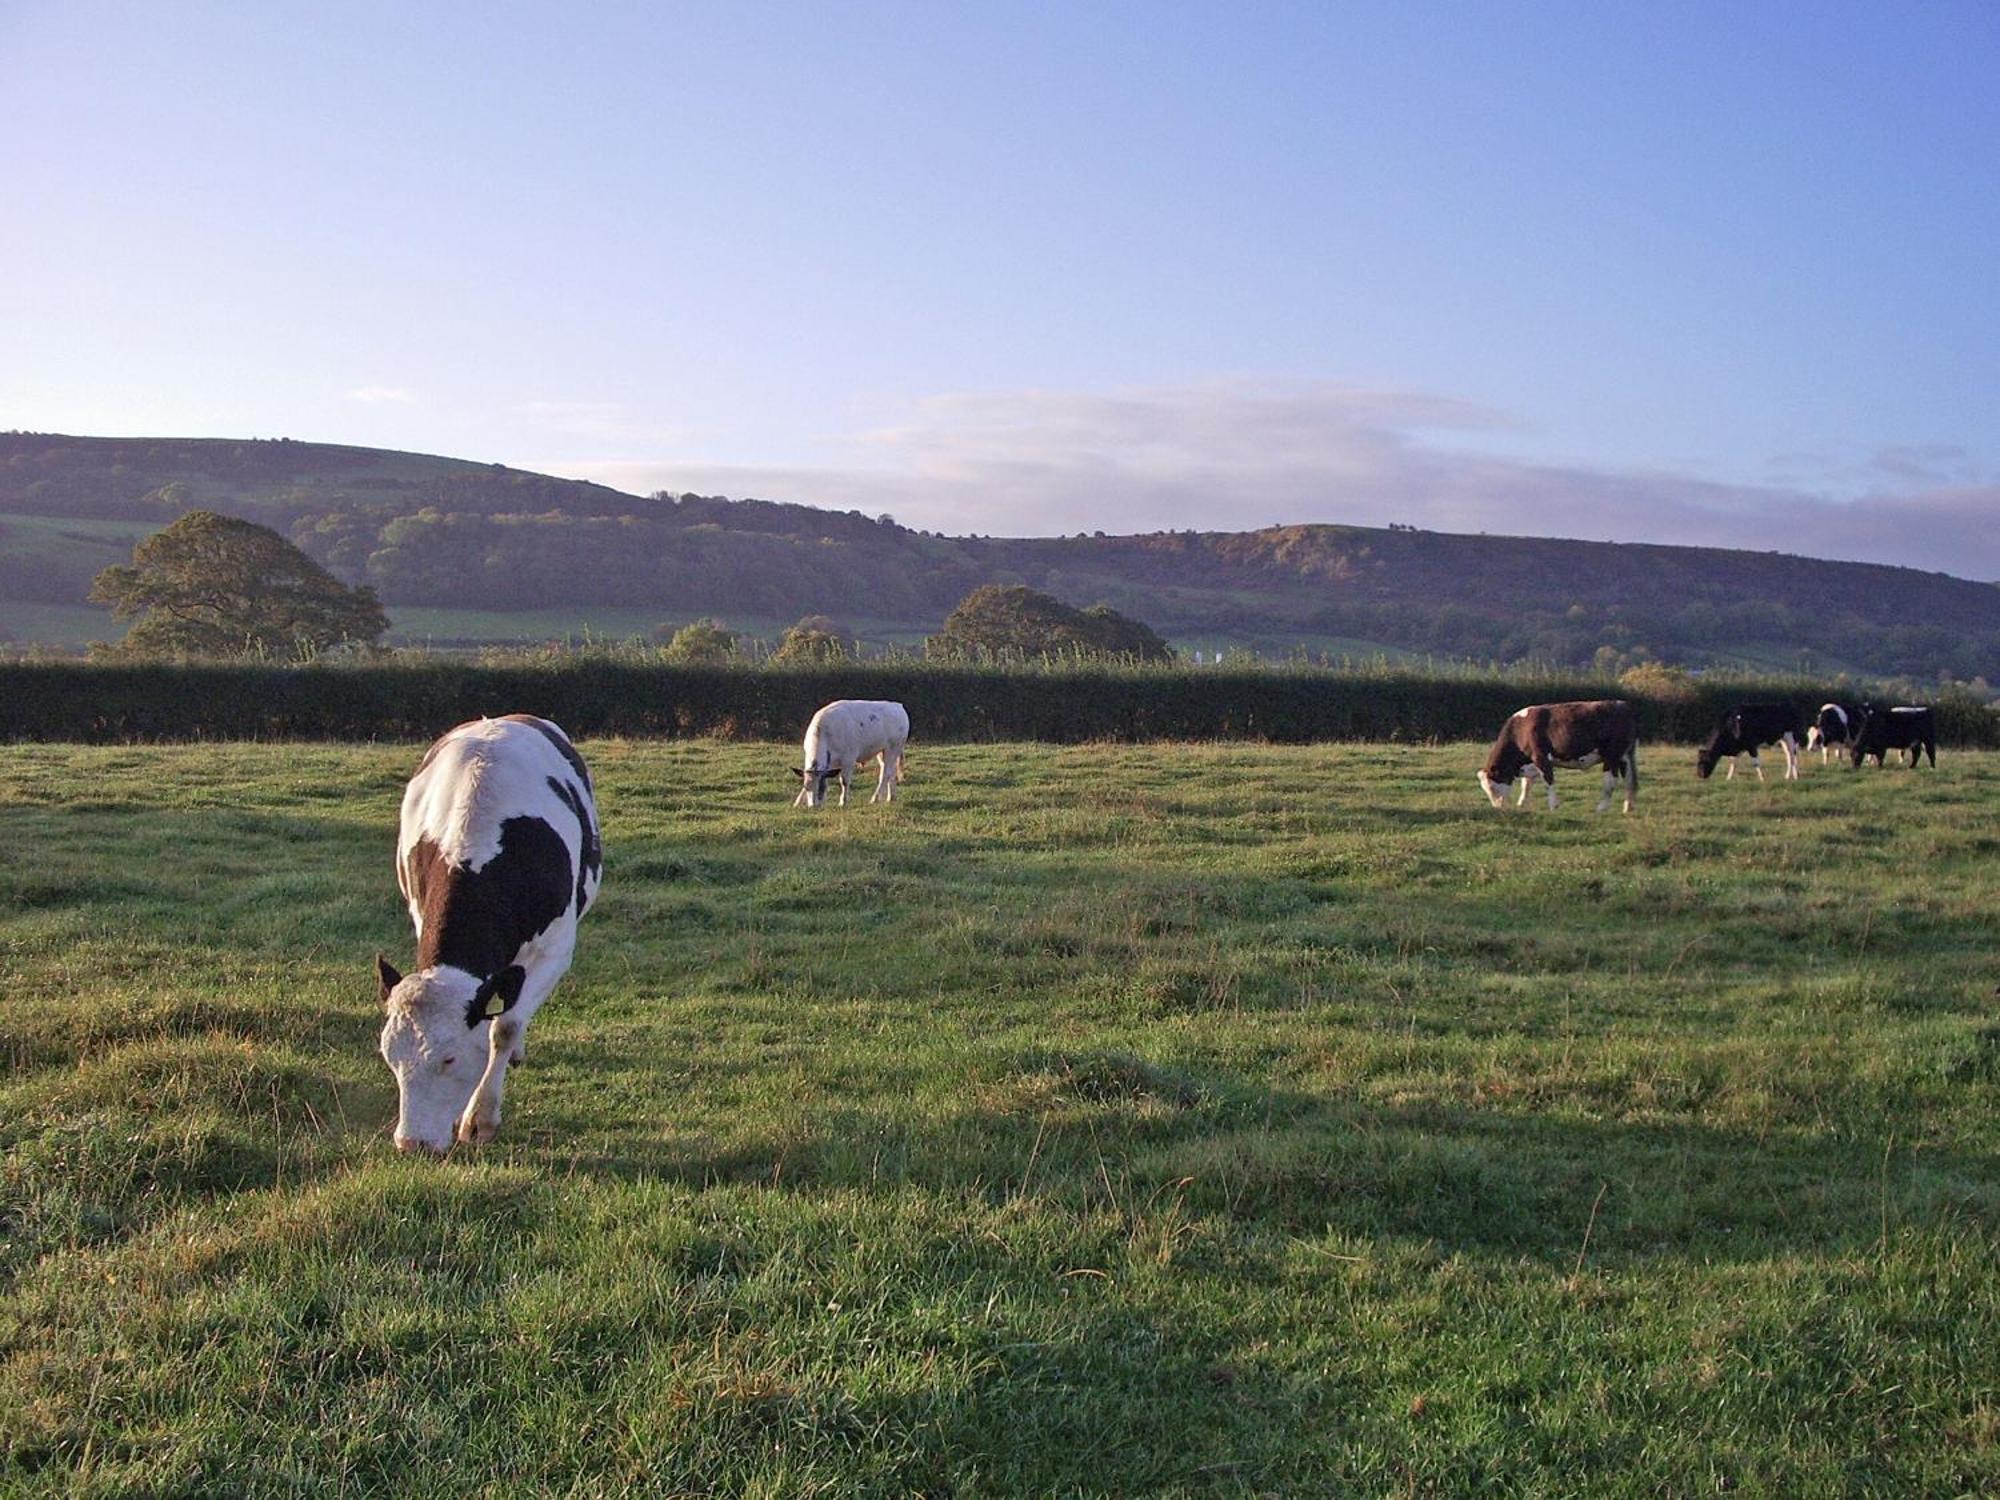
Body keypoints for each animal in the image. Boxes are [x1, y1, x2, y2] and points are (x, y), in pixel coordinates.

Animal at [372, 712, 596, 1152]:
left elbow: (505, 1027)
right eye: (390, 1055)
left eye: (449, 1058)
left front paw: (481, 1118)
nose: (411, 1142)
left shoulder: (555, 949)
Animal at [1472, 704, 1640, 816]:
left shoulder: (1541, 757)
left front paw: (1553, 806)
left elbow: (1548, 781)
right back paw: (1628, 807)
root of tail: (1622, 705)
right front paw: (1521, 803)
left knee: (1611, 781)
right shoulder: (1531, 763)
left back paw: (1601, 808)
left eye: (1492, 787)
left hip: (1612, 756)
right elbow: (1526, 785)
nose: (1497, 808)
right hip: (1625, 757)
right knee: (1629, 780)